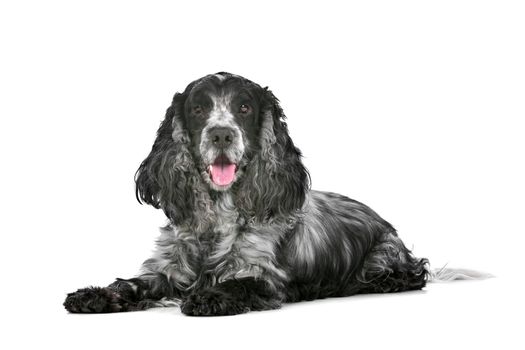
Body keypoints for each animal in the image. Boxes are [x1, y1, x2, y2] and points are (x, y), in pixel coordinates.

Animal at [63, 72, 436, 316]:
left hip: (385, 255)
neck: (214, 218)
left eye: (244, 108)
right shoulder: (168, 270)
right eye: (198, 109)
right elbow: (132, 283)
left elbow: (237, 284)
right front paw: (92, 294)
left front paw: (206, 298)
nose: (221, 135)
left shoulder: (264, 276)